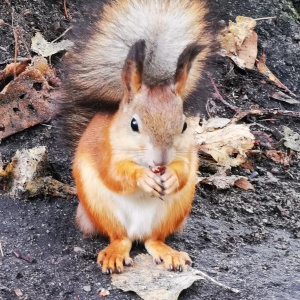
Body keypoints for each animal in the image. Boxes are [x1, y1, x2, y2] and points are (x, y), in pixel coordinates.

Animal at [61, 0, 211, 274]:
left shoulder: (187, 153)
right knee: (119, 237)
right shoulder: (105, 149)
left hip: (175, 210)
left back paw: (168, 253)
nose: (161, 160)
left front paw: (172, 176)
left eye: (184, 124)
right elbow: (114, 174)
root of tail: (137, 233)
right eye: (133, 124)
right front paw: (142, 178)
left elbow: (185, 170)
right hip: (100, 207)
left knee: (154, 239)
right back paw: (114, 253)